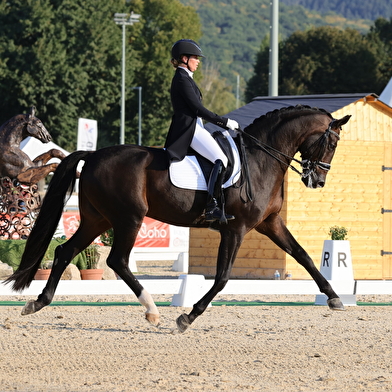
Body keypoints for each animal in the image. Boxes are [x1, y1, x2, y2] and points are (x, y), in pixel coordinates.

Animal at [4, 105, 350, 332]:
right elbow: (222, 278)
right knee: (117, 260)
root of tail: (93, 155)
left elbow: (303, 256)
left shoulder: (270, 223)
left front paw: (334, 298)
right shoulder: (236, 229)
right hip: (129, 218)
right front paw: (187, 317)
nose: (317, 181)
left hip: (97, 219)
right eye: (332, 143)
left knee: (65, 250)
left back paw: (38, 302)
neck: (261, 160)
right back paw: (152, 311)